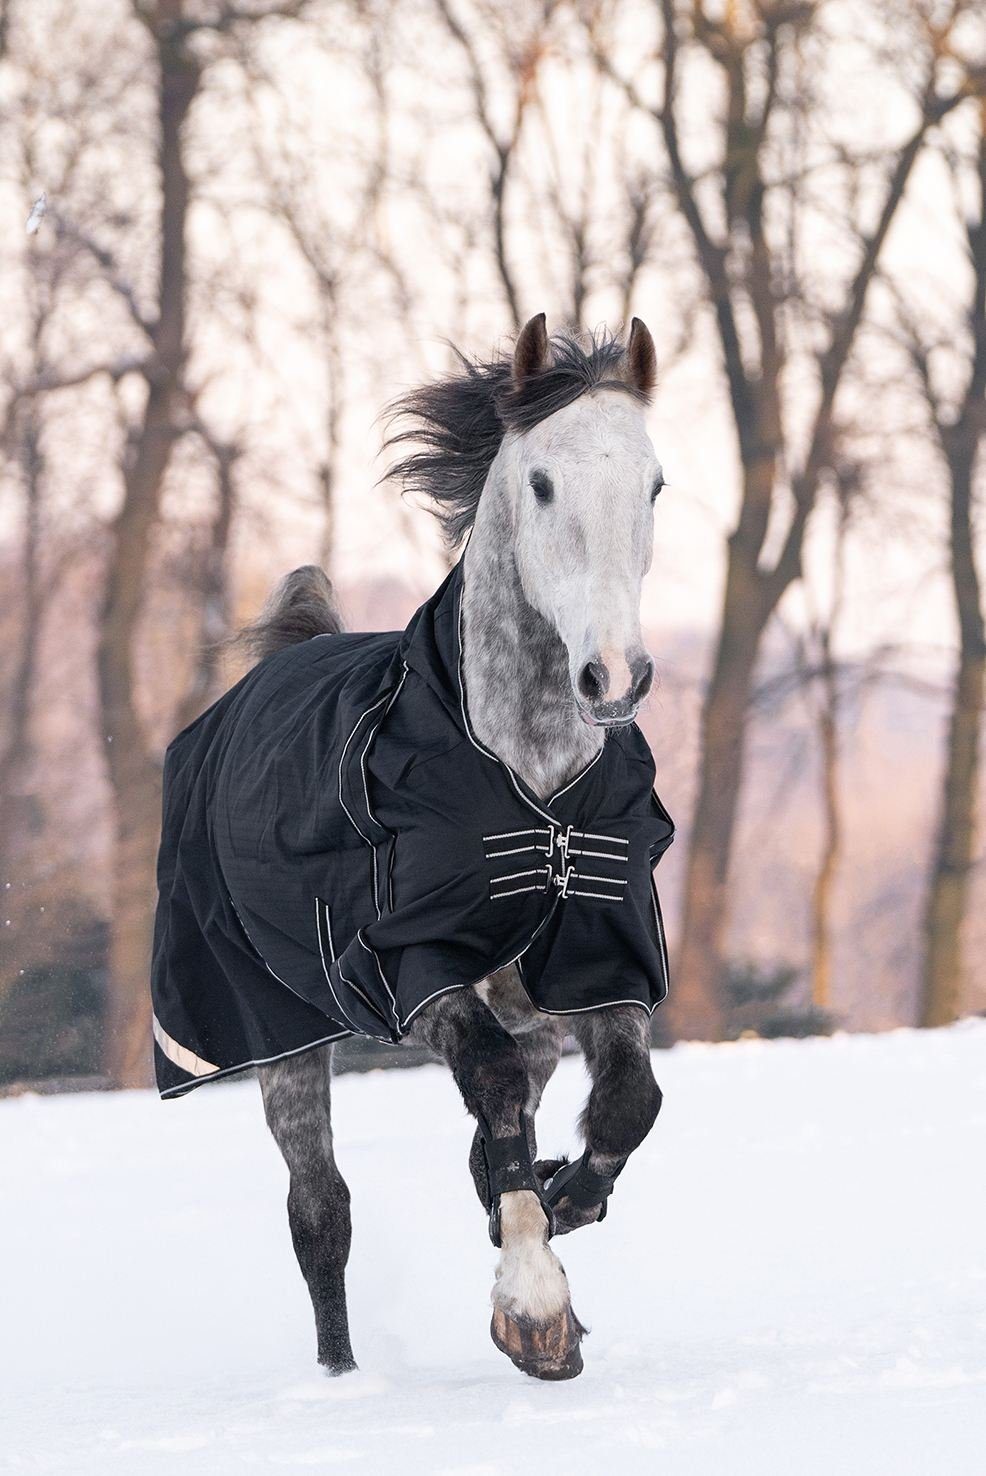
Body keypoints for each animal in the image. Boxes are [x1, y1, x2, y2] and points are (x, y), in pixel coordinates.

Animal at [153, 314, 670, 1382]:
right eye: (541, 482)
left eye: (654, 484)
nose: (615, 676)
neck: (529, 781)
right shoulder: (412, 968)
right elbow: (492, 1082)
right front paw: (535, 1311)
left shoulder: (601, 960)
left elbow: (627, 1101)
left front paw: (563, 1201)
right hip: (281, 1033)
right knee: (320, 1211)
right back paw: (342, 1377)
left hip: (521, 1005)